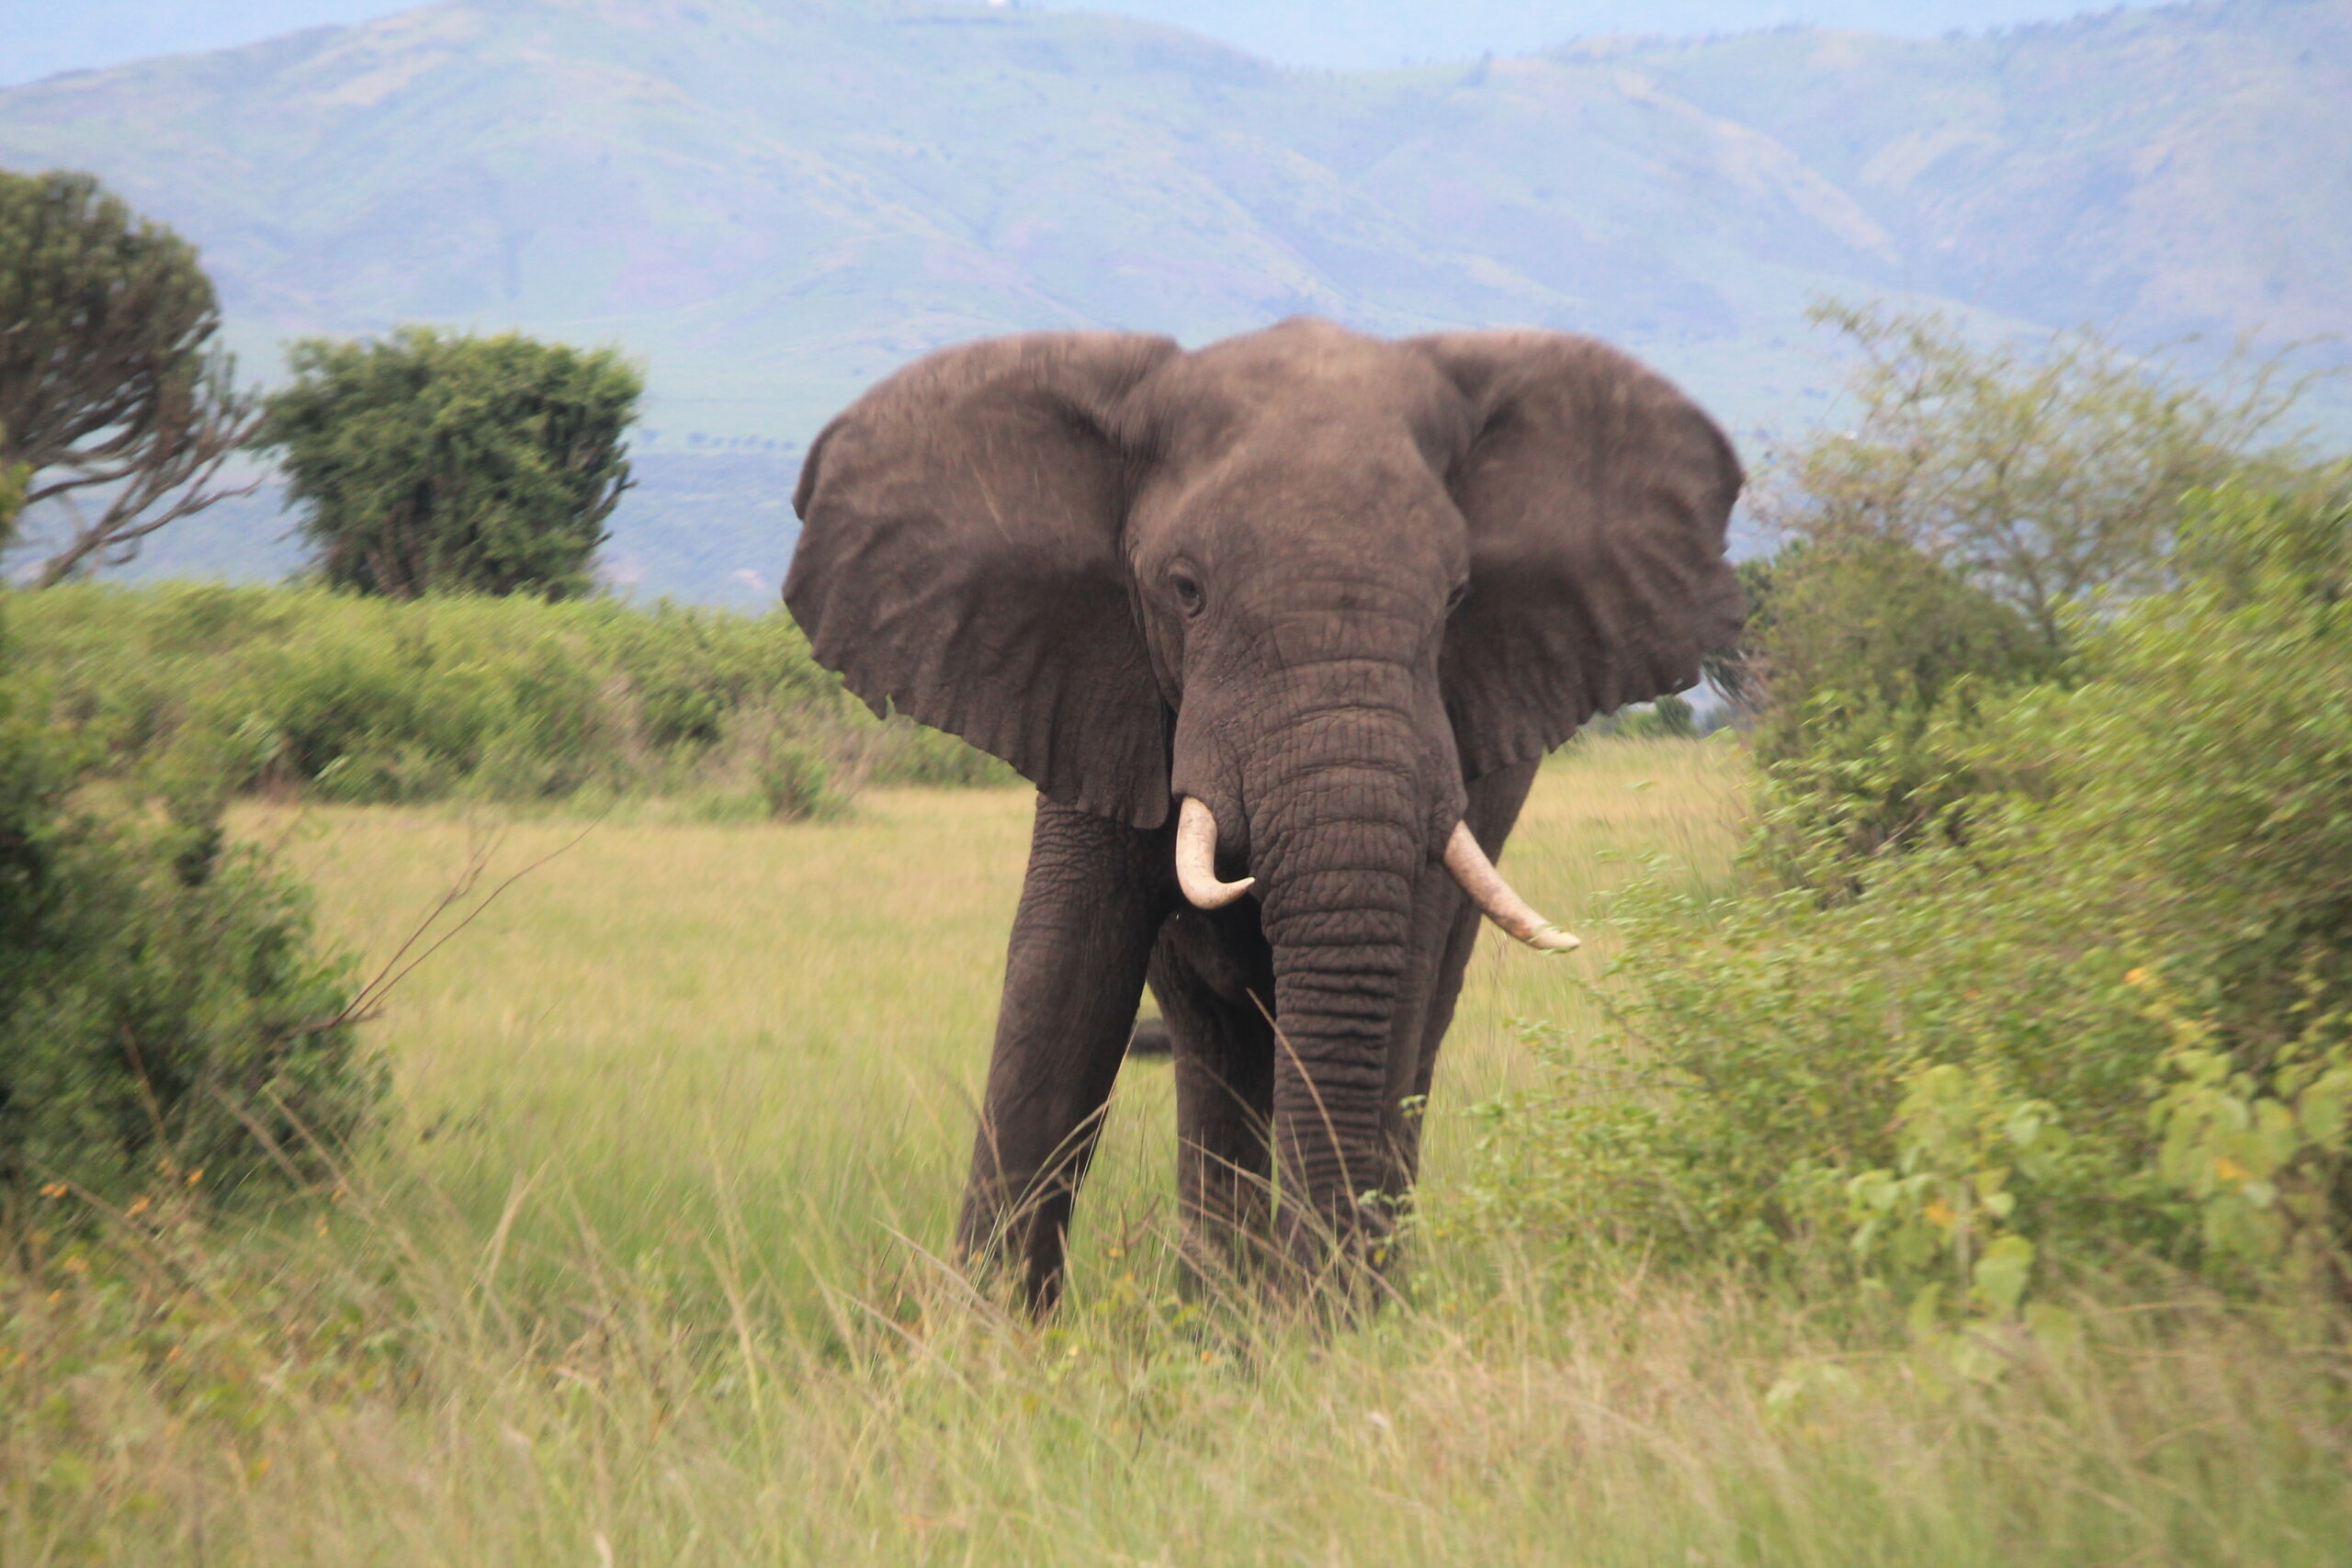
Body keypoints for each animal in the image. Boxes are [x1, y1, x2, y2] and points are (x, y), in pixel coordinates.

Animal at [790, 312, 1749, 1306]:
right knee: (1215, 1043)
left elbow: (1390, 993)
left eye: (1456, 597)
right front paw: (987, 1336)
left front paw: (1333, 1327)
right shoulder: (1094, 684)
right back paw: (1216, 1313)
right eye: (1185, 590)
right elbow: (1062, 987)